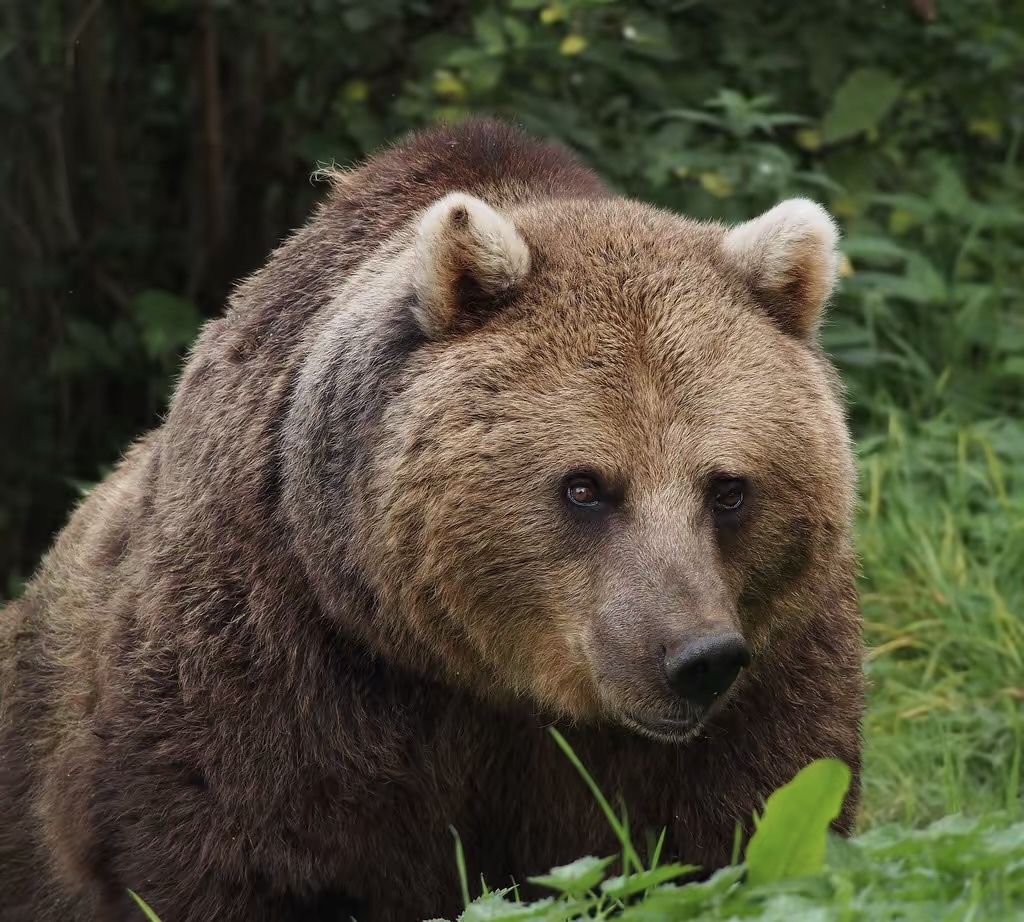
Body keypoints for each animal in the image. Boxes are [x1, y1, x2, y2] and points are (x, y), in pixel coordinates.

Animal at [0, 118, 864, 917]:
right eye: (585, 486)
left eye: (728, 488)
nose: (695, 658)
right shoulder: (279, 656)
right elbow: (230, 850)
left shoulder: (771, 667)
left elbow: (740, 827)